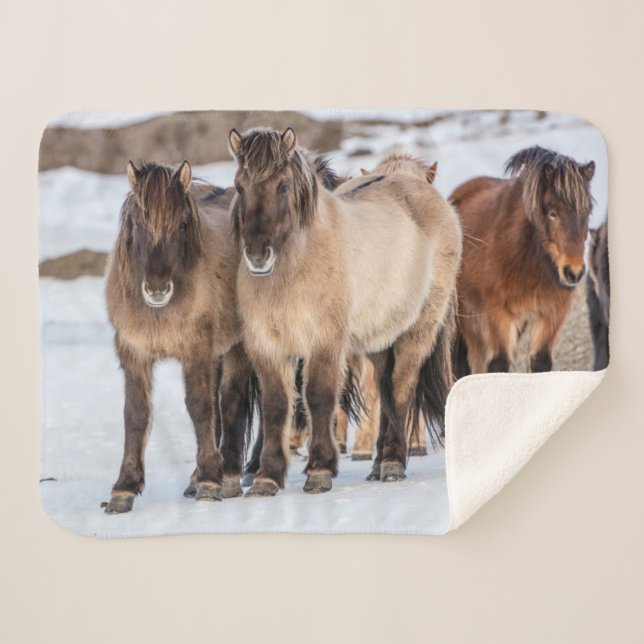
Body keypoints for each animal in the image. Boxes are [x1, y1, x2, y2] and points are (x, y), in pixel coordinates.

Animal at [103, 160, 257, 513]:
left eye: (183, 224)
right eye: (138, 222)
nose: (158, 289)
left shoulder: (195, 352)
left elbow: (200, 408)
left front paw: (211, 483)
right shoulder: (134, 353)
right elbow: (135, 414)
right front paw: (123, 489)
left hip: (236, 348)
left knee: (229, 401)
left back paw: (227, 475)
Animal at [228, 127, 461, 495]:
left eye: (282, 185)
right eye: (239, 186)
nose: (257, 255)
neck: (296, 266)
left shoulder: (325, 342)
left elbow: (319, 396)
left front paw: (319, 470)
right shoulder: (267, 345)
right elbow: (276, 406)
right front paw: (267, 477)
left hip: (417, 331)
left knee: (402, 387)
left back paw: (393, 461)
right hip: (380, 339)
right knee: (385, 389)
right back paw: (379, 463)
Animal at [451, 146, 595, 375]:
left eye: (587, 212)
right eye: (552, 212)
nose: (574, 272)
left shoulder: (551, 313)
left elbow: (540, 362)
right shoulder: (498, 314)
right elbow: (499, 363)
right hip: (469, 318)